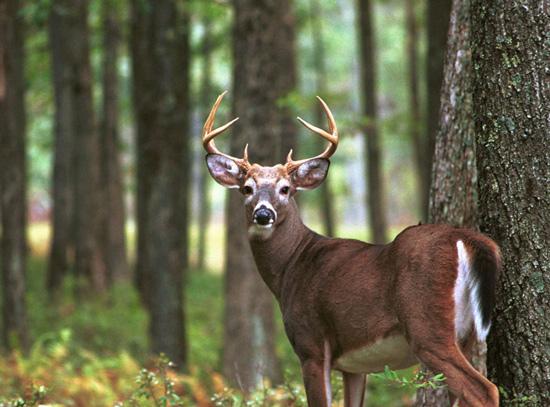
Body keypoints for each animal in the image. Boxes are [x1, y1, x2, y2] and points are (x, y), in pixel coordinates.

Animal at [204, 91, 504, 406]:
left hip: (428, 326)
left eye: (285, 188)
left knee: (484, 389)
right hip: (466, 335)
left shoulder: (311, 343)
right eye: (247, 188)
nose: (263, 214)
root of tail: (467, 239)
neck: (291, 267)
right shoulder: (354, 367)